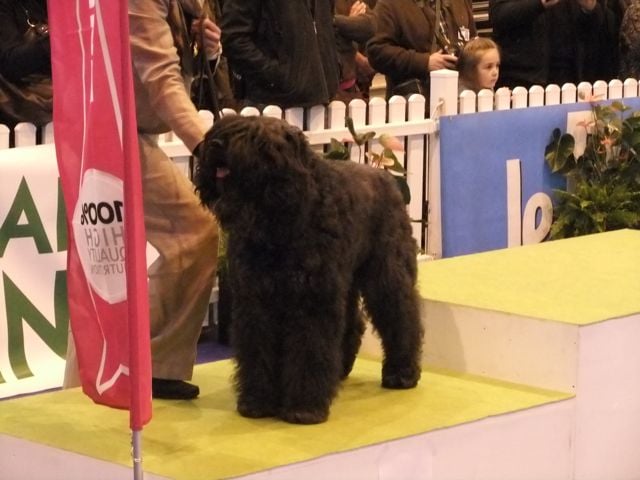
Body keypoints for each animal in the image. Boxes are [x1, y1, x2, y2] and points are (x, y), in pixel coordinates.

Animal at [194, 115, 424, 424]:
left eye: (254, 139)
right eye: (219, 131)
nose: (216, 145)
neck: (279, 217)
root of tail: (387, 179)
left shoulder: (312, 300)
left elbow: (309, 348)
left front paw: (304, 407)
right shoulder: (256, 302)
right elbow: (257, 349)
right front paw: (257, 401)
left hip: (386, 273)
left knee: (402, 315)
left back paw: (401, 373)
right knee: (353, 323)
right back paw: (340, 371)